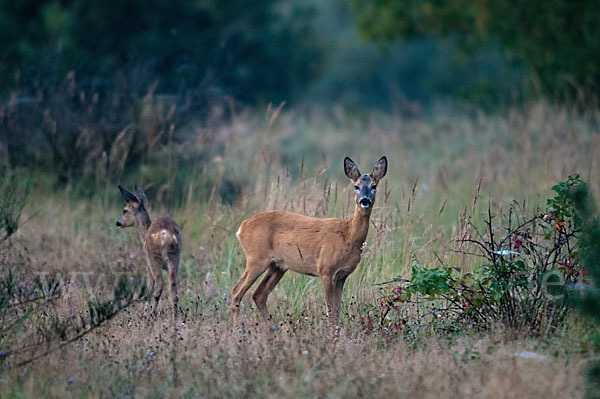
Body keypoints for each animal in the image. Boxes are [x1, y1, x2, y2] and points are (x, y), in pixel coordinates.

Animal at [116, 186, 182, 320]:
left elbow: (149, 286)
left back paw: (151, 314)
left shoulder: (147, 263)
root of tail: (165, 233)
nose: (118, 223)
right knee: (173, 287)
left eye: (125, 210)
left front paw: (145, 310)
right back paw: (175, 318)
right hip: (175, 257)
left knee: (159, 283)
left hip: (153, 257)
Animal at [232, 156, 386, 328]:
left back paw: (273, 330)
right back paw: (237, 330)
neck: (348, 236)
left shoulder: (342, 275)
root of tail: (242, 227)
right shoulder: (326, 269)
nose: (365, 200)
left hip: (278, 266)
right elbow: (331, 312)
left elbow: (337, 311)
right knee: (236, 291)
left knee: (258, 295)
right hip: (256, 258)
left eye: (374, 186)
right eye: (356, 186)